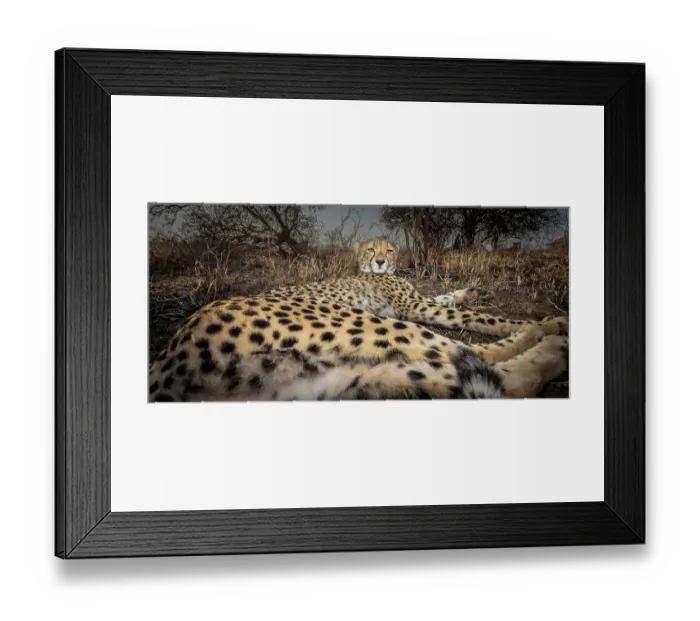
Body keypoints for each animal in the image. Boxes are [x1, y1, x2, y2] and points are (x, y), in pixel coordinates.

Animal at [148, 239, 569, 403]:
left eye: (390, 249)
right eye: (371, 250)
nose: (381, 261)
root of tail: (170, 358)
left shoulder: (419, 303)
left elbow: (449, 298)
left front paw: (470, 289)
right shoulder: (415, 311)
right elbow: (477, 318)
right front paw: (542, 322)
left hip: (340, 379)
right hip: (362, 325)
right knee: (479, 358)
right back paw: (551, 333)